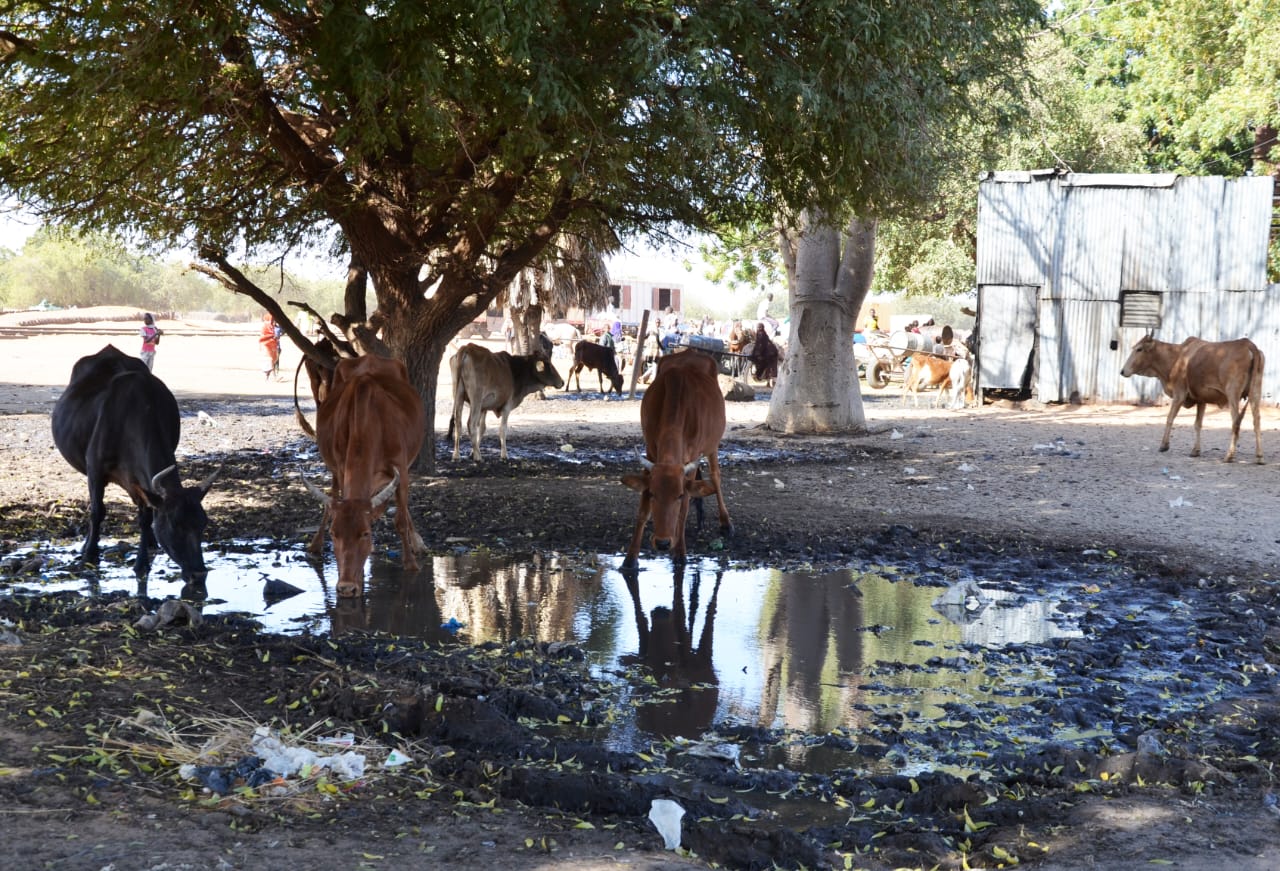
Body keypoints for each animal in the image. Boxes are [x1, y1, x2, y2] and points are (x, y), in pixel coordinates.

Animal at [51, 343, 217, 581]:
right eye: (175, 525)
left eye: (203, 523)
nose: (199, 572)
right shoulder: (95, 471)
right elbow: (97, 511)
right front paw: (90, 554)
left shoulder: (139, 481)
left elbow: (145, 517)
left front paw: (142, 562)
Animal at [1121, 333, 1259, 463]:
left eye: (1139, 349)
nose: (1122, 371)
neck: (1177, 356)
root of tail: (1248, 345)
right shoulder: (1201, 400)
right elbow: (1198, 424)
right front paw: (1195, 451)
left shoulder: (1179, 394)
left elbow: (1170, 418)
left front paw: (1164, 445)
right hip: (1254, 394)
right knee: (1256, 420)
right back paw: (1259, 457)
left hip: (1232, 395)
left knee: (1236, 421)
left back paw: (1229, 456)